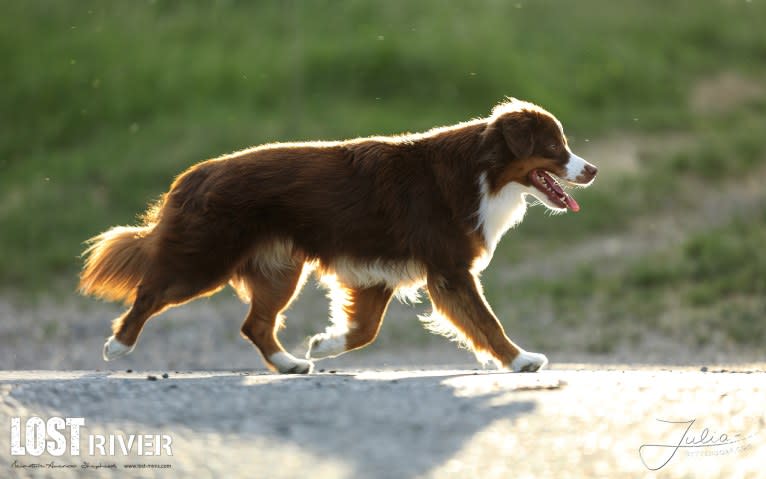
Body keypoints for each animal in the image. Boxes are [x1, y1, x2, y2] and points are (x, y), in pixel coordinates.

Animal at [82, 97, 600, 376]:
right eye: (555, 148)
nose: (592, 170)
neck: (483, 172)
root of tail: (193, 175)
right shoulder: (449, 269)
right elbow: (486, 322)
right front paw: (521, 360)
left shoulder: (378, 273)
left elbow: (366, 329)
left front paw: (323, 344)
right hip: (206, 260)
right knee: (151, 291)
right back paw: (118, 345)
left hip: (280, 269)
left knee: (255, 324)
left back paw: (290, 363)